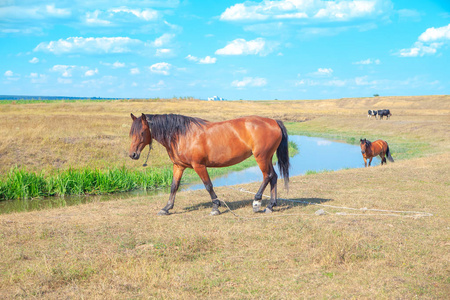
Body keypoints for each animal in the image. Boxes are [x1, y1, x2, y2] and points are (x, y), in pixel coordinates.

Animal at [128, 113, 290, 216]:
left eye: (142, 133)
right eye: (131, 133)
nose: (132, 155)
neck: (182, 135)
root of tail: (274, 122)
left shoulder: (199, 166)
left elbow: (208, 186)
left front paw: (215, 207)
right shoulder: (178, 166)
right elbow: (174, 186)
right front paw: (166, 208)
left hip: (261, 157)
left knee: (267, 176)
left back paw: (257, 202)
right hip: (267, 158)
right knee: (274, 177)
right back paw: (270, 206)